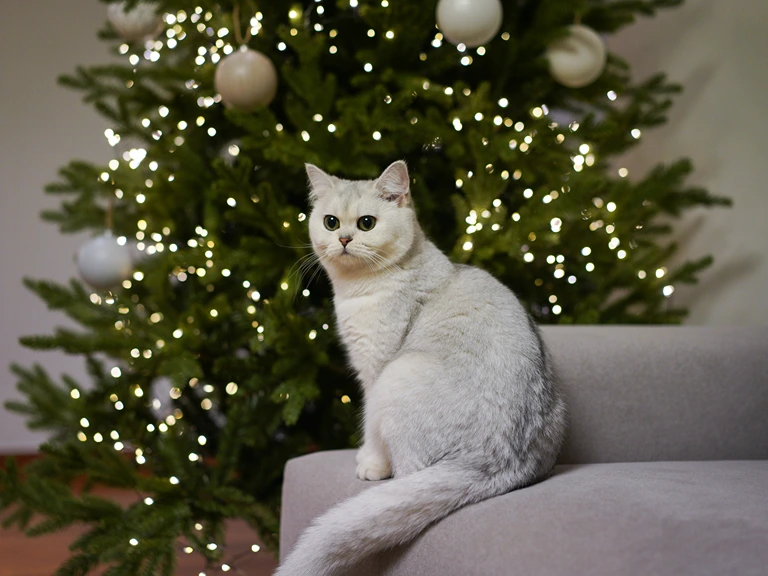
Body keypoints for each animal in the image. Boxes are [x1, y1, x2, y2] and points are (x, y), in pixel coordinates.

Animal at [275, 161, 567, 576]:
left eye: (366, 223)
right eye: (331, 222)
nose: (343, 239)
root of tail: (497, 461)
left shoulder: (375, 371)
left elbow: (369, 429)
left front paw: (370, 463)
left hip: (396, 379)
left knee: (407, 471)